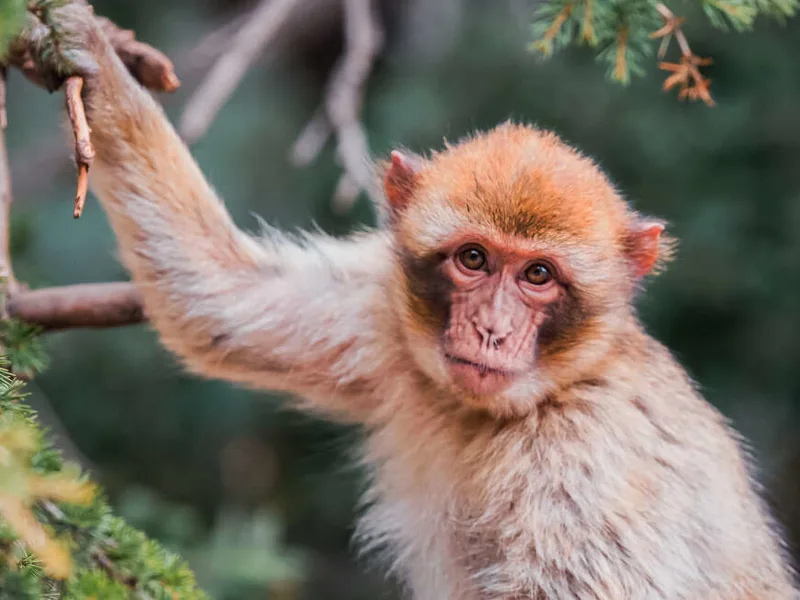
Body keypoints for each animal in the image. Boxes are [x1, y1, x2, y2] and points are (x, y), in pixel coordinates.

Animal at [48, 5, 796, 599]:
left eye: (539, 276)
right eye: (474, 259)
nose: (491, 329)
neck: (514, 410)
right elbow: (216, 298)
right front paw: (83, 49)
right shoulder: (382, 316)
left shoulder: (591, 456)